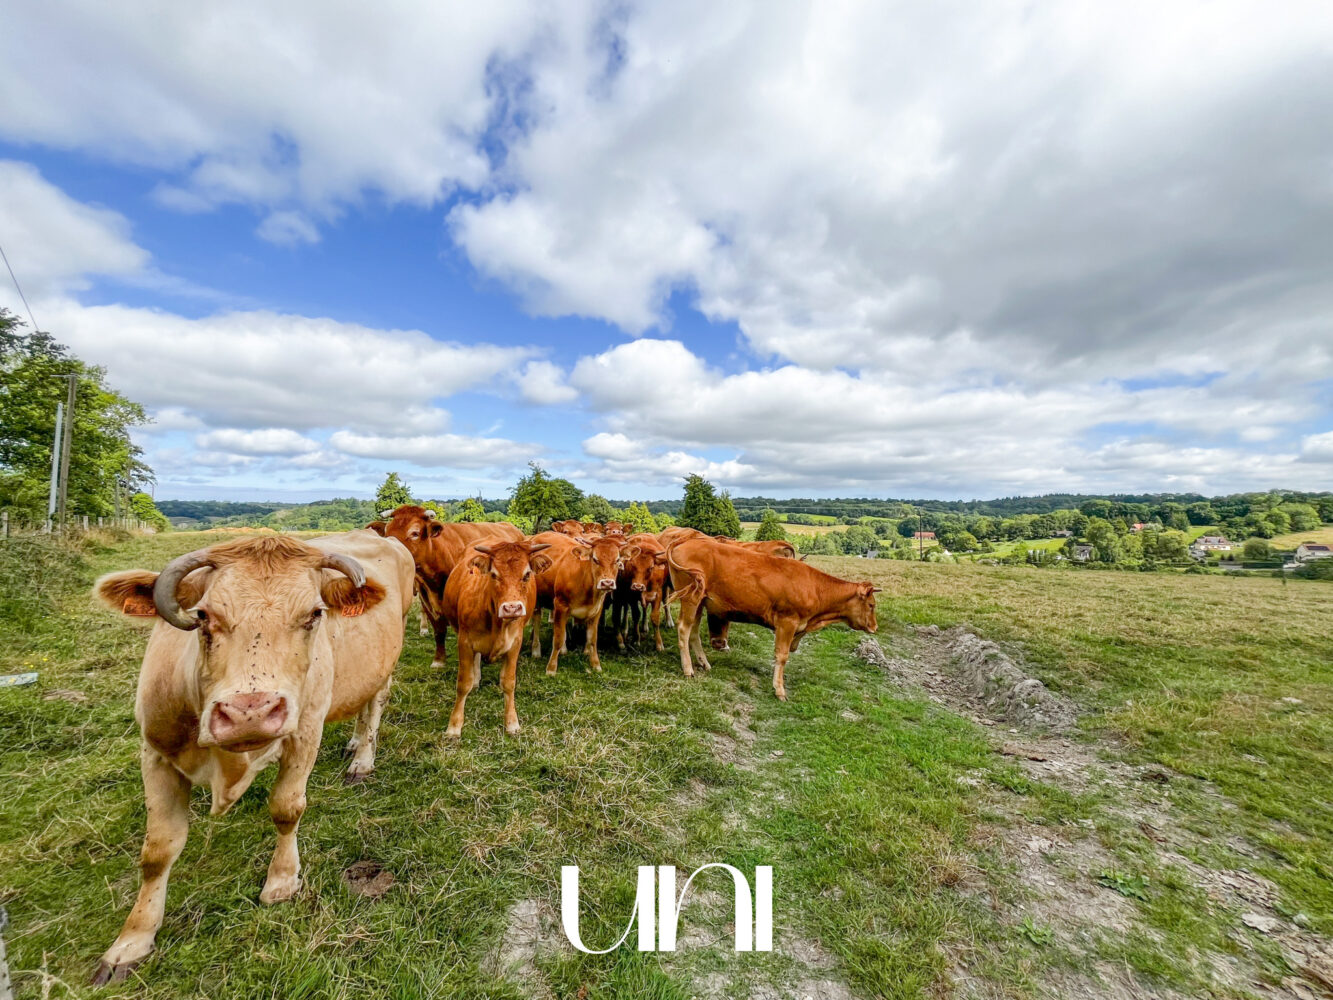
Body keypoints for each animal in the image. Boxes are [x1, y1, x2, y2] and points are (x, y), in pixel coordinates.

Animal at [88, 531, 413, 984]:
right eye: (203, 615)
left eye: (314, 614)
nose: (250, 713)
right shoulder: (154, 752)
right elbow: (157, 851)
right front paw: (131, 941)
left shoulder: (305, 732)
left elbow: (286, 808)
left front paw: (282, 880)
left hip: (385, 665)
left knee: (374, 705)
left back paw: (362, 758)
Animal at [441, 540, 552, 737]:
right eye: (494, 574)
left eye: (527, 574)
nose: (512, 608)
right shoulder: (464, 643)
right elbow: (463, 683)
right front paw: (454, 726)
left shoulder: (515, 644)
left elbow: (508, 682)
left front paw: (512, 723)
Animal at [528, 531, 631, 674]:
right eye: (595, 559)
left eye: (617, 560)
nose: (607, 583)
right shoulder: (560, 604)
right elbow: (558, 638)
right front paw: (551, 668)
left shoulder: (596, 610)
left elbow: (592, 639)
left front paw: (596, 665)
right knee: (537, 620)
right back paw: (536, 650)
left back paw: (563, 650)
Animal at [666, 536, 878, 701]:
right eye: (871, 605)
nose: (874, 627)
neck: (815, 588)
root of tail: (686, 540)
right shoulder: (787, 623)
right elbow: (782, 656)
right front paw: (779, 690)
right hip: (690, 599)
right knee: (684, 629)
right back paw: (688, 670)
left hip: (700, 601)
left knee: (693, 632)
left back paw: (704, 664)